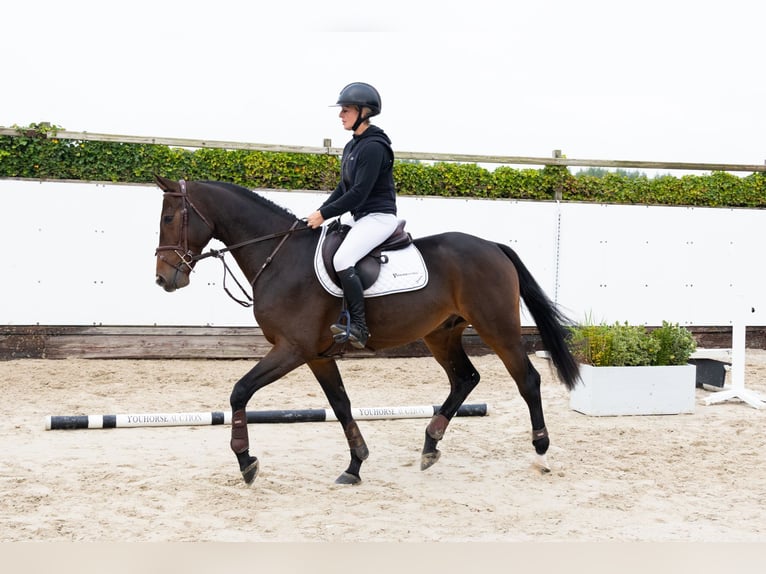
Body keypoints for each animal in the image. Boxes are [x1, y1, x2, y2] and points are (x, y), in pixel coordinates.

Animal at [153, 175, 580, 485]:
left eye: (169, 218)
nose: (163, 279)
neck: (280, 257)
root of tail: (492, 246)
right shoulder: (316, 356)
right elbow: (341, 405)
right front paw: (355, 465)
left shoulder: (291, 349)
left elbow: (240, 391)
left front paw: (246, 461)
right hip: (440, 333)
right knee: (465, 378)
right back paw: (430, 444)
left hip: (498, 328)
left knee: (527, 380)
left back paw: (541, 453)